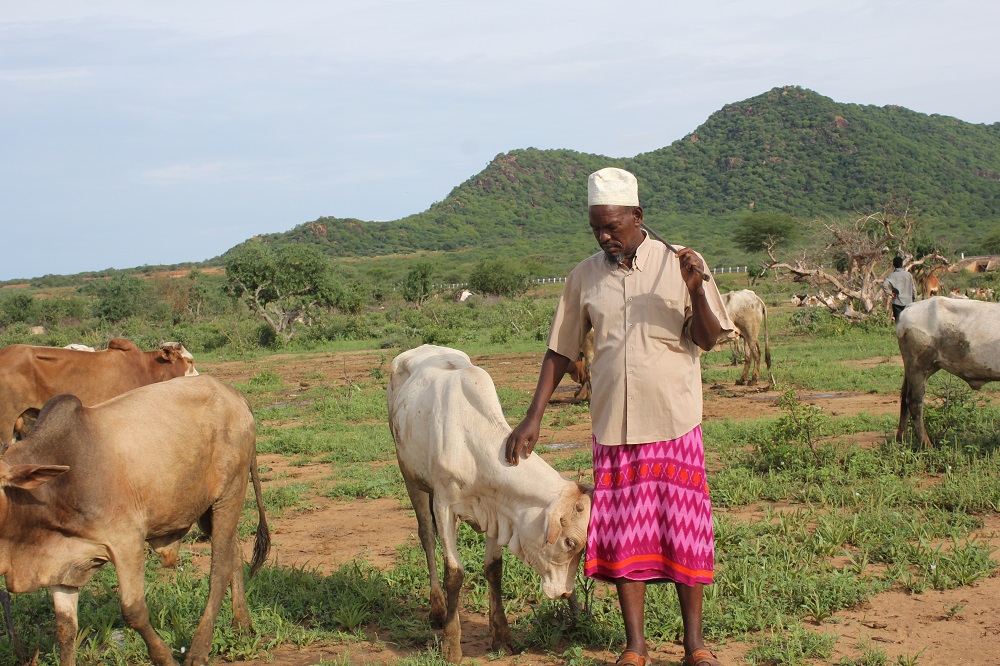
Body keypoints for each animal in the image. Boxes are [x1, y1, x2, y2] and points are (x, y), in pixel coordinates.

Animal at [0, 375, 270, 666]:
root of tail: (233, 393)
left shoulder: (126, 541)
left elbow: (133, 611)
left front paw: (165, 658)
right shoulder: (65, 564)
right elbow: (65, 628)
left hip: (229, 493)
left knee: (219, 570)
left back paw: (199, 649)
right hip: (207, 508)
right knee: (233, 551)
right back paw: (241, 624)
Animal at [387, 345, 591, 663]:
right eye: (570, 543)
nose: (565, 593)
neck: (472, 444)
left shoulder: (496, 510)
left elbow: (494, 569)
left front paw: (502, 636)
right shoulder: (444, 505)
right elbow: (454, 573)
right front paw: (452, 644)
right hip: (411, 478)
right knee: (427, 537)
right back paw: (437, 609)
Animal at [895, 297, 1000, 446]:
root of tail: (910, 307)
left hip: (919, 368)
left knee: (904, 398)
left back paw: (901, 440)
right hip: (918, 366)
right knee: (914, 402)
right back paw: (926, 444)